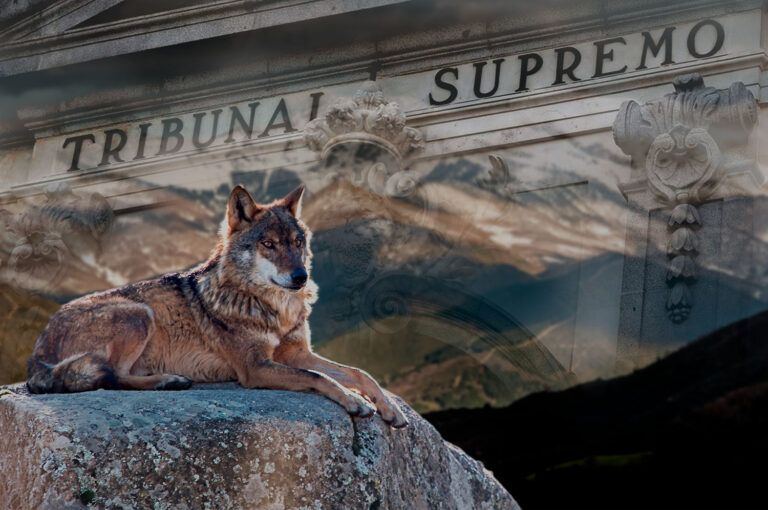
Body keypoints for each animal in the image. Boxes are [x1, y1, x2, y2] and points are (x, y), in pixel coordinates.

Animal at [26, 184, 408, 428]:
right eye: (268, 244)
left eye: (297, 242)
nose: (300, 277)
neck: (273, 309)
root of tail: (37, 352)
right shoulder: (256, 368)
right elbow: (318, 377)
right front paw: (355, 401)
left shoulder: (296, 353)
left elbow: (358, 372)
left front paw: (389, 409)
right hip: (138, 314)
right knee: (112, 377)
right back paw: (168, 381)